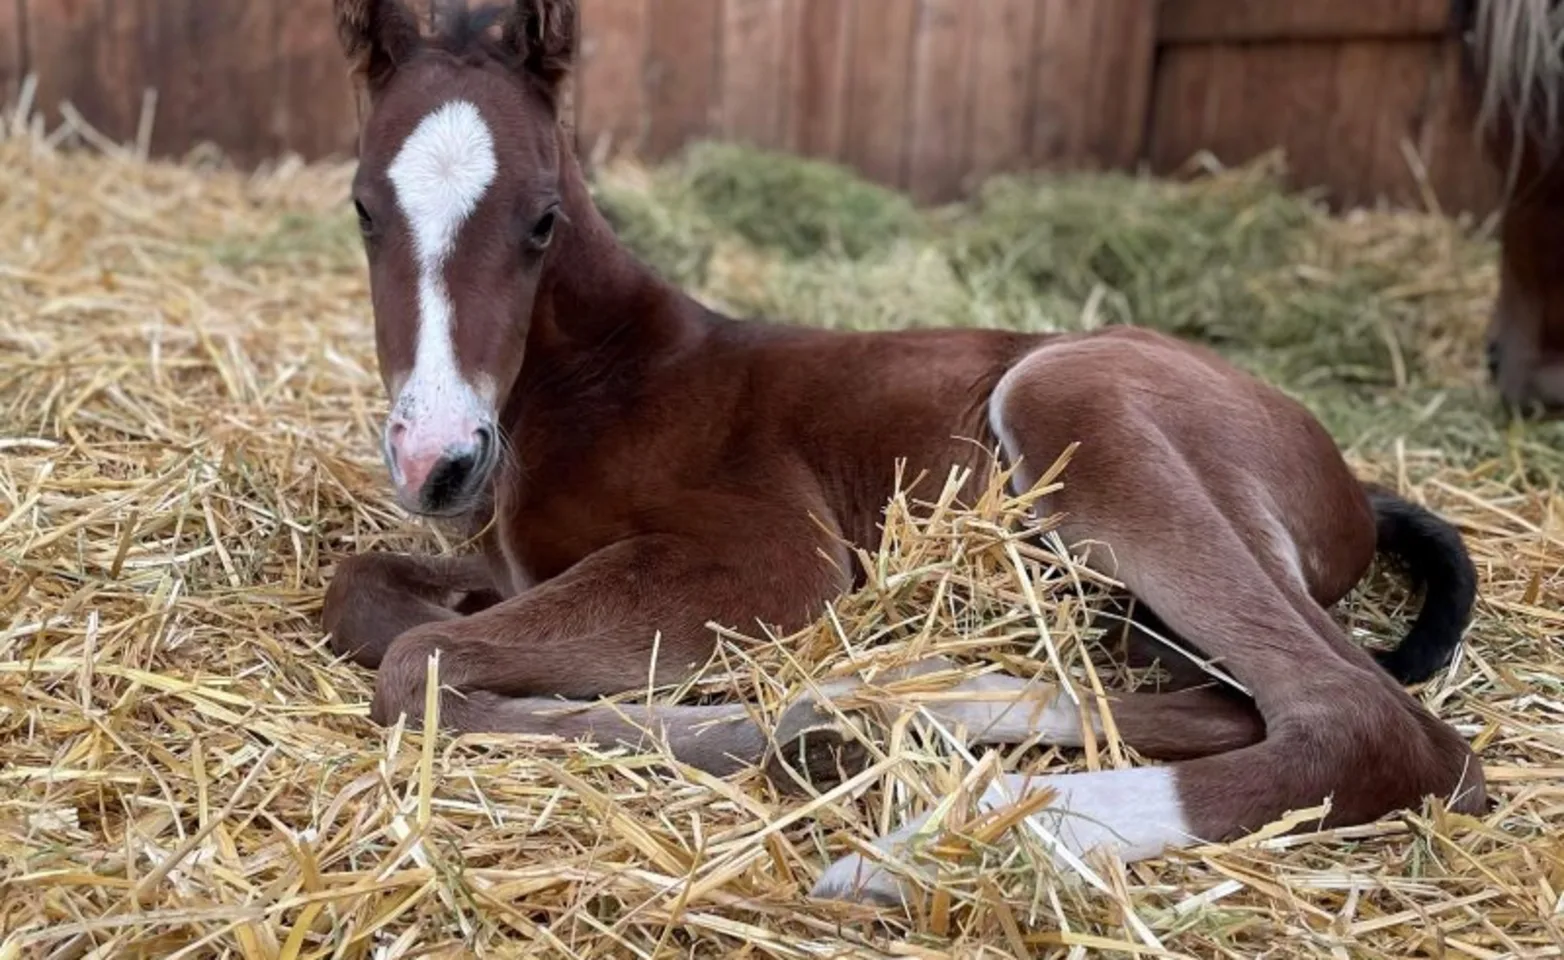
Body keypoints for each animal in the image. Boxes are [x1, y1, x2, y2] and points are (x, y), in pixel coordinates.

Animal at [321, 0, 1487, 907]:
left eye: (543, 219)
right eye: (363, 209)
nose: (439, 460)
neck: (606, 373)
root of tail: (1349, 483)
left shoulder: (766, 558)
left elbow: (420, 663)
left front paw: (779, 733)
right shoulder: (505, 559)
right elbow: (364, 596)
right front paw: (811, 720)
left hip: (1070, 400)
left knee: (1374, 726)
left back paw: (926, 841)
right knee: (1220, 701)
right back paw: (908, 703)